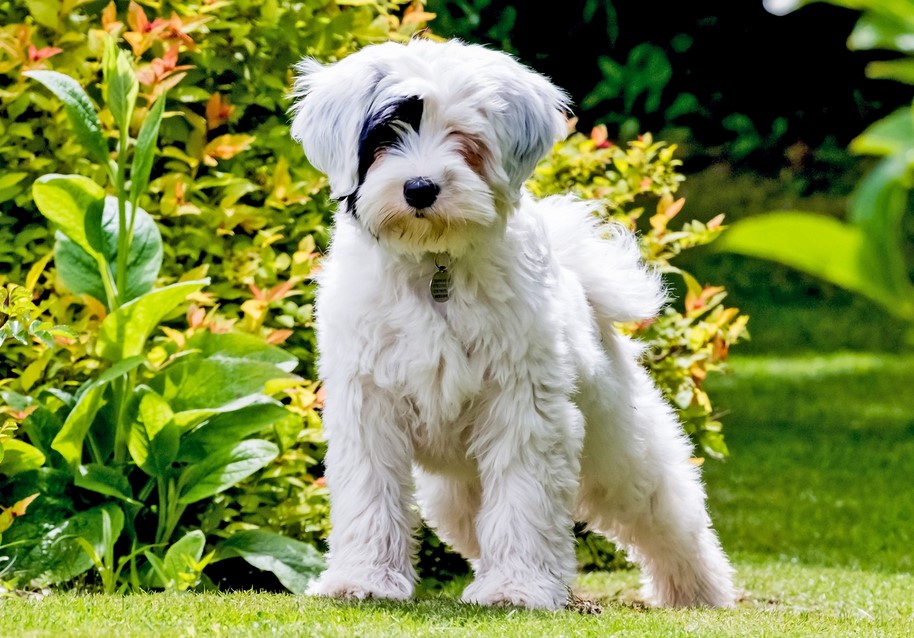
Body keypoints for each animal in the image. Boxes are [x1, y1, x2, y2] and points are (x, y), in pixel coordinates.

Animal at [290, 37, 732, 612]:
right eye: (386, 134)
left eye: (465, 140)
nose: (419, 188)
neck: (436, 266)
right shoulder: (368, 406)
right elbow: (371, 494)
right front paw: (362, 579)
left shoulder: (523, 407)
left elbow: (524, 498)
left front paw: (517, 589)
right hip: (453, 491)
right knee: (477, 523)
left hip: (620, 451)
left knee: (666, 510)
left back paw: (698, 588)